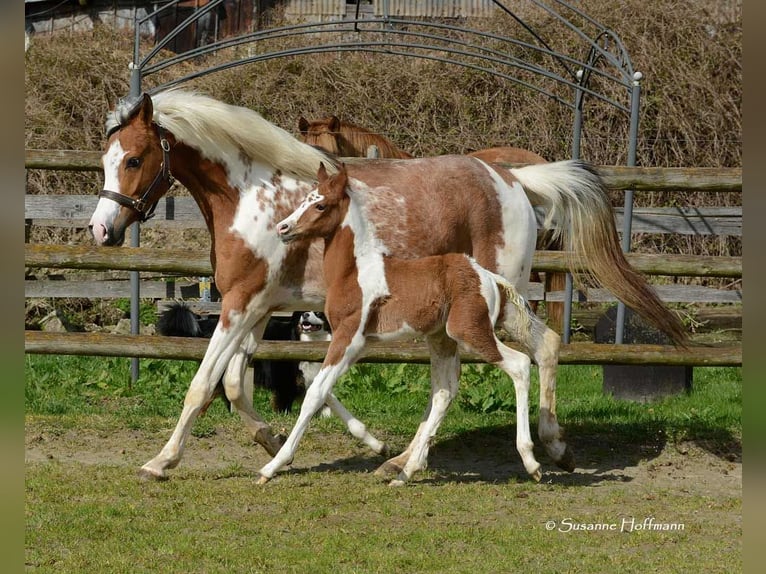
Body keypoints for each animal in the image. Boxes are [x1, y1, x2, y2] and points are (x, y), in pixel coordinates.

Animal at [264, 165, 552, 486]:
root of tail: (488, 277)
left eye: (320, 205)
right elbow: (322, 389)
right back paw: (406, 470)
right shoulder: (356, 344)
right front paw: (375, 444)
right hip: (442, 337)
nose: (283, 228)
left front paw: (271, 467)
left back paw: (531, 461)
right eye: (305, 198)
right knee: (444, 391)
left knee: (520, 363)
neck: (353, 271)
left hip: (469, 331)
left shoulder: (348, 337)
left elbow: (314, 394)